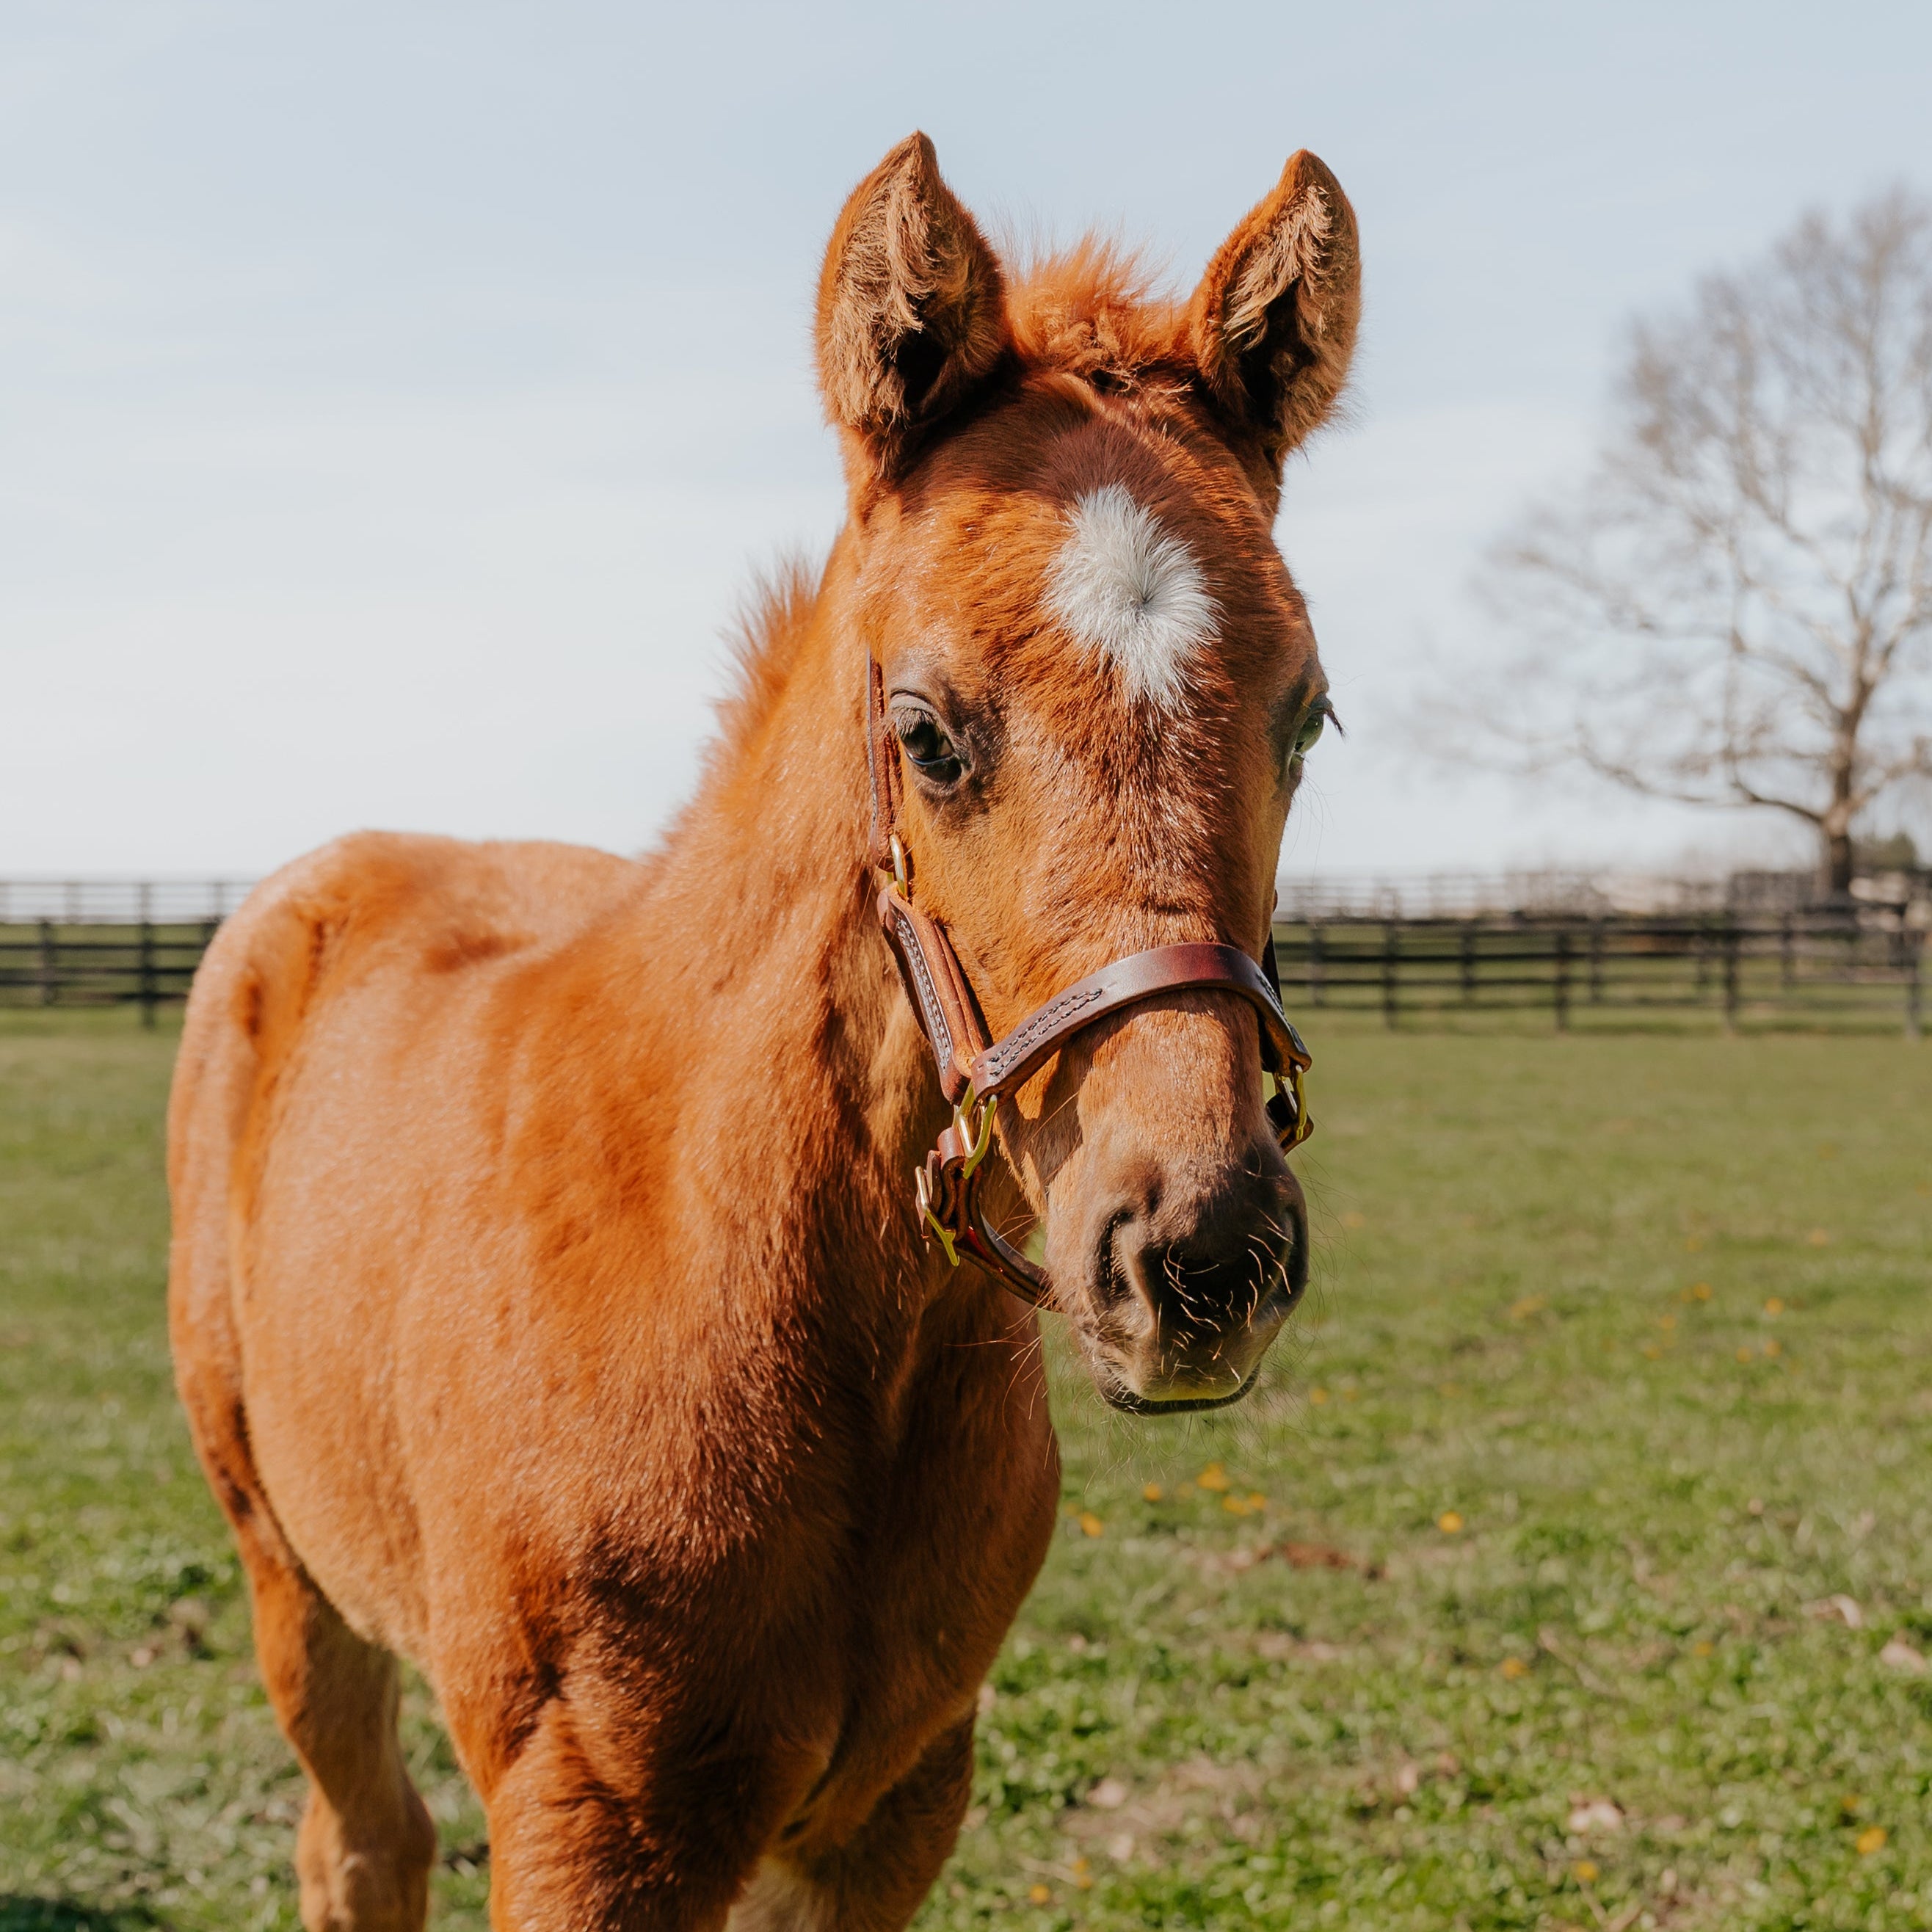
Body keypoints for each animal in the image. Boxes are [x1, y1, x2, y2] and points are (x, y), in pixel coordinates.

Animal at [167, 132, 1359, 1931]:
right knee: (362, 1840)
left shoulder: (891, 1804)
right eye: (926, 731)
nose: (1198, 1250)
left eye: (1305, 716)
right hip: (289, 1572)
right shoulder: (591, 1820)